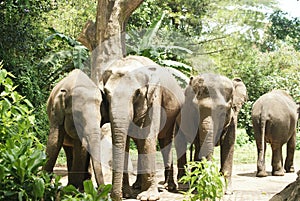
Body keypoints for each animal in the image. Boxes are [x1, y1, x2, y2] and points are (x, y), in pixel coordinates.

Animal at [102, 55, 184, 201]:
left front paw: (148, 197)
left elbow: (148, 138)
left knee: (165, 141)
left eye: (137, 93)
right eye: (105, 93)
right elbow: (126, 141)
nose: (114, 196)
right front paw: (126, 194)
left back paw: (170, 187)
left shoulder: (154, 98)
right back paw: (137, 185)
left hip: (174, 115)